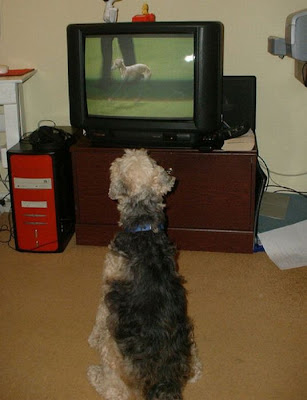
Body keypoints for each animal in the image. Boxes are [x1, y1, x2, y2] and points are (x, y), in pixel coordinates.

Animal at [86, 148, 203, 398]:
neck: (143, 228)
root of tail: (164, 380)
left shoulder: (106, 285)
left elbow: (99, 316)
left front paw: (92, 337)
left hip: (112, 352)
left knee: (114, 390)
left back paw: (94, 373)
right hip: (189, 339)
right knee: (197, 368)